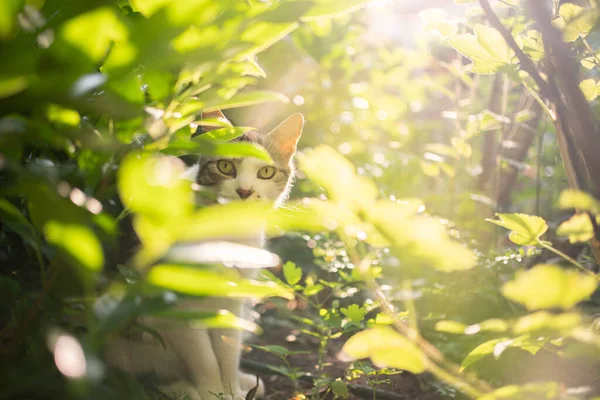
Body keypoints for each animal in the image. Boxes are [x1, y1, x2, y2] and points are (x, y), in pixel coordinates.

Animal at [104, 110, 304, 400]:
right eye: (225, 167)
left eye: (265, 172)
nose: (244, 191)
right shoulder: (175, 303)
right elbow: (204, 358)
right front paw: (212, 392)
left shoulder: (233, 296)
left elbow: (228, 349)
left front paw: (231, 389)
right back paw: (180, 388)